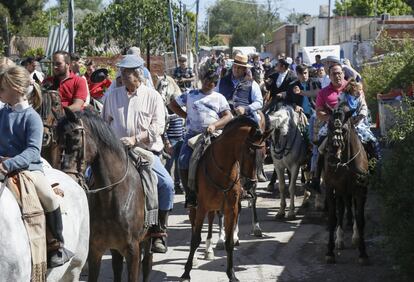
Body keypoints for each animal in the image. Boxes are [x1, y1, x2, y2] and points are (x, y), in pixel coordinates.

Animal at [55, 108, 151, 282]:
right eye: (58, 142)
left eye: (76, 140)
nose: (68, 178)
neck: (112, 198)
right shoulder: (96, 249)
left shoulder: (133, 249)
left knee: (147, 263)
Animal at [181, 115, 272, 282]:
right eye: (249, 151)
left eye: (263, 152)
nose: (251, 183)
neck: (222, 169)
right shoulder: (202, 206)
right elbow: (195, 239)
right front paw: (186, 273)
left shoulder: (232, 208)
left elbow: (229, 242)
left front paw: (232, 274)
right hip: (195, 206)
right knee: (194, 225)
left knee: (212, 220)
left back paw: (209, 249)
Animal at [324, 103, 368, 264]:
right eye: (329, 126)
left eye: (343, 130)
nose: (332, 158)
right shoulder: (331, 188)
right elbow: (333, 218)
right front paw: (330, 252)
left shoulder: (361, 190)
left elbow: (360, 219)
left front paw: (363, 253)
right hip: (341, 191)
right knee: (342, 209)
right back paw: (340, 240)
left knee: (352, 209)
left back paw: (355, 237)